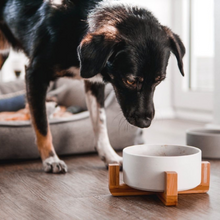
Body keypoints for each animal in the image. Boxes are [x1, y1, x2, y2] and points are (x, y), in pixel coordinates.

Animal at [0, 0, 186, 174]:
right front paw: (51, 159)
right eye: (130, 81)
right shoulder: (35, 74)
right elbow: (41, 123)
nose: (145, 123)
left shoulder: (94, 83)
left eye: (159, 80)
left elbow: (100, 124)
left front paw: (110, 156)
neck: (78, 22)